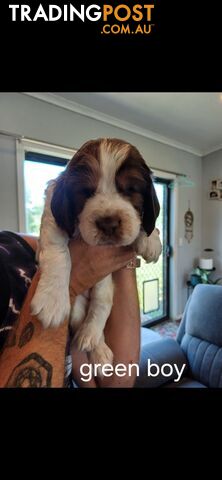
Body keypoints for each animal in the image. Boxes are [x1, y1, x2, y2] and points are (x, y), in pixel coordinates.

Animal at [30, 139, 161, 368]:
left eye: (130, 189)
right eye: (85, 191)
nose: (109, 223)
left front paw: (152, 239)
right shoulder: (52, 212)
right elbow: (57, 250)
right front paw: (52, 299)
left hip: (104, 285)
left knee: (101, 305)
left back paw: (94, 343)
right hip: (78, 302)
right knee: (81, 317)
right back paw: (96, 347)